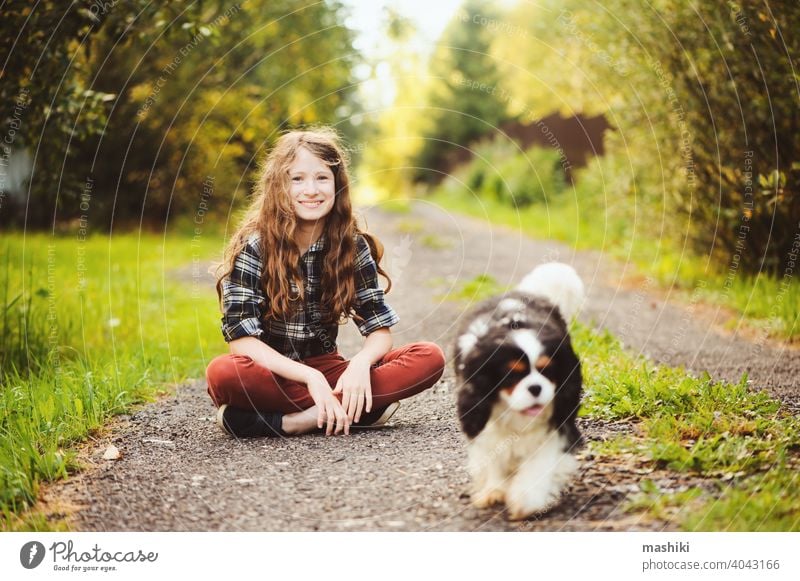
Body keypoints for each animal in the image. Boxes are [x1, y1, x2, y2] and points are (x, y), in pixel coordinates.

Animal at [456, 260, 580, 520]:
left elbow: (539, 464)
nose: (535, 387)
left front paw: (526, 499)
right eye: (512, 375)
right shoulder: (486, 426)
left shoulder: (554, 429)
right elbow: (492, 457)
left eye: (548, 371)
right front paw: (493, 490)